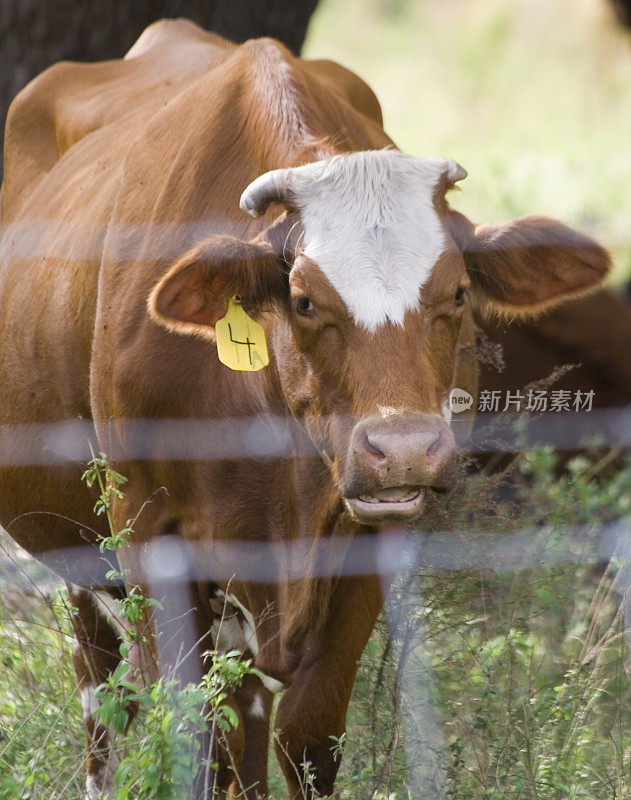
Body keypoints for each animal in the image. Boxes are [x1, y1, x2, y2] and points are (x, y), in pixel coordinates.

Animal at [0, 18, 612, 800]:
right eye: (303, 300)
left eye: (457, 295)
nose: (402, 451)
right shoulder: (146, 533)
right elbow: (189, 737)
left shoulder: (366, 547)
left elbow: (307, 735)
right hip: (79, 561)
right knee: (104, 703)